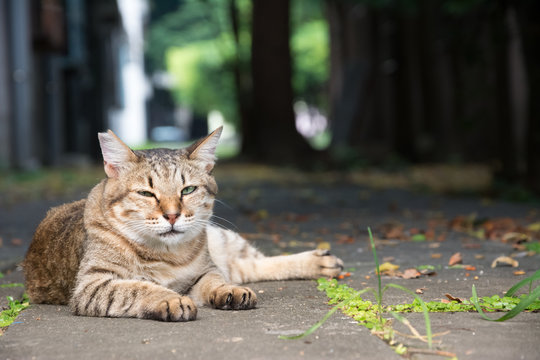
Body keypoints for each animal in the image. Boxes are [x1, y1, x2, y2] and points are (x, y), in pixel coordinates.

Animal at [23, 128, 344, 322]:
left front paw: (227, 292)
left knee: (253, 264)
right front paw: (169, 299)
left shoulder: (206, 271)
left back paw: (318, 262)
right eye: (146, 193)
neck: (167, 254)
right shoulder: (92, 285)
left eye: (187, 190)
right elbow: (137, 287)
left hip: (224, 240)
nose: (172, 215)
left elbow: (217, 281)